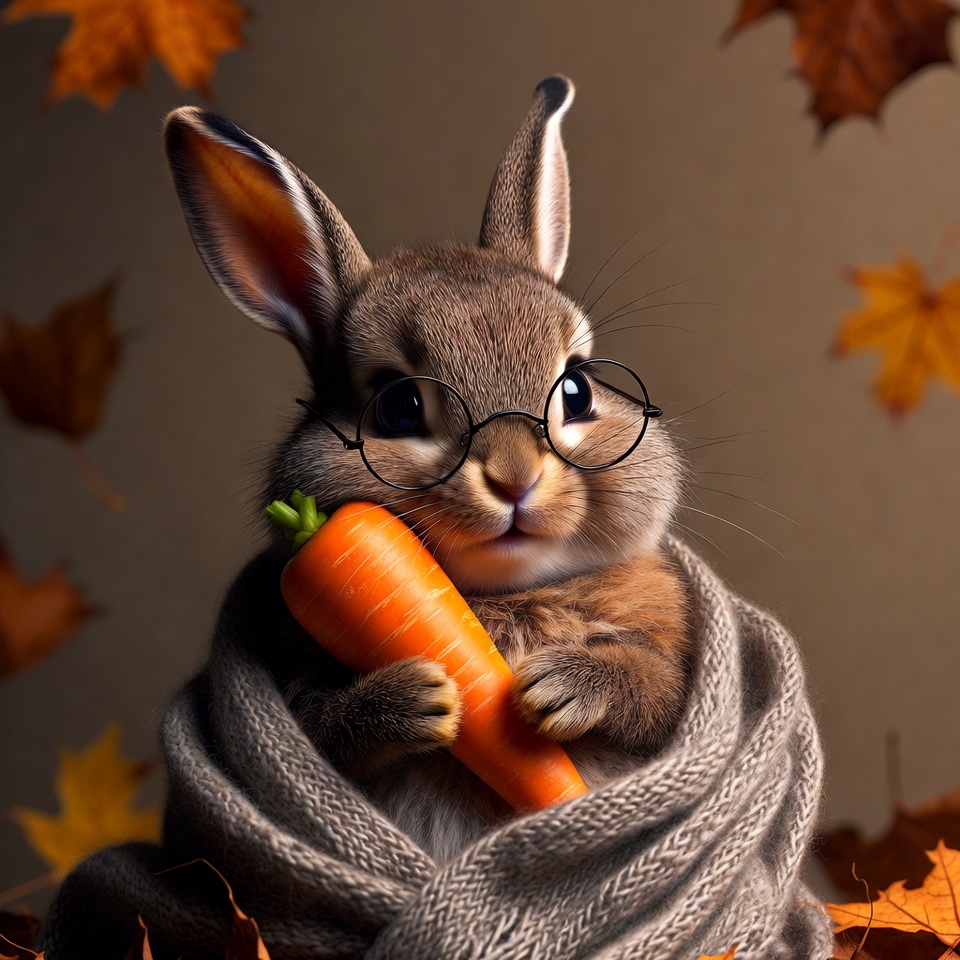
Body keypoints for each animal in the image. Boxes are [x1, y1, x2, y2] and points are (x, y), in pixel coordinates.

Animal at [163, 76, 693, 861]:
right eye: (398, 407)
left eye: (576, 390)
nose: (514, 478)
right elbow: (318, 733)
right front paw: (418, 700)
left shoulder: (671, 665)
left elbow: (657, 689)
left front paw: (561, 690)